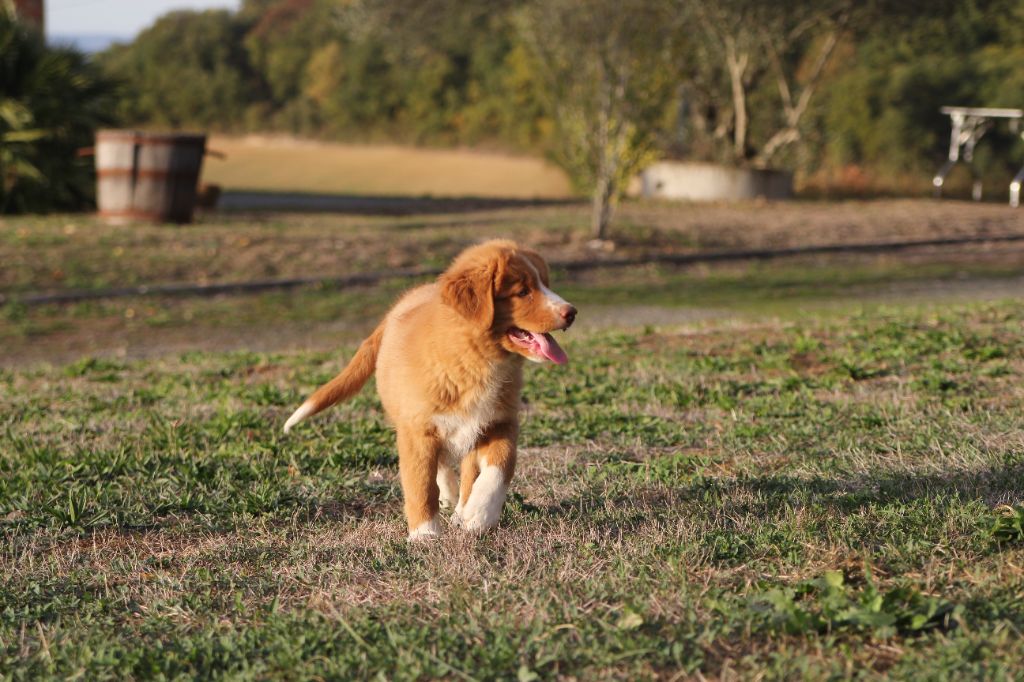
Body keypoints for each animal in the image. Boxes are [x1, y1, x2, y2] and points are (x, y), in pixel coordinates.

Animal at [284, 241, 577, 540]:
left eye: (545, 283)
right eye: (522, 292)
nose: (572, 312)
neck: (474, 360)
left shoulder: (500, 420)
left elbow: (499, 467)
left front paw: (479, 516)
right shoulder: (417, 430)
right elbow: (421, 484)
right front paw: (425, 534)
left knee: (467, 469)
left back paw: (461, 509)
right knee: (441, 467)